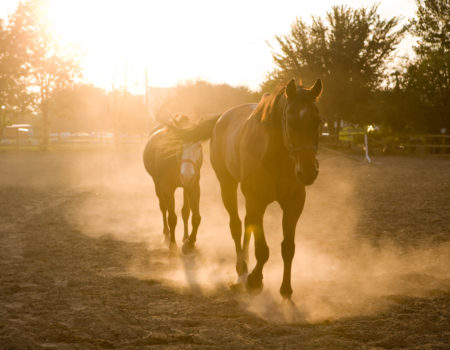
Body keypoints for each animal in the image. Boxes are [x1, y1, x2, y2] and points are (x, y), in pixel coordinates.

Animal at [211, 78, 324, 298]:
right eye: (290, 122)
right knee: (236, 225)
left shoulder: (294, 204)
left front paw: (286, 288)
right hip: (227, 185)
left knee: (247, 223)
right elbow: (263, 250)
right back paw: (242, 269)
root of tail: (222, 118)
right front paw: (255, 279)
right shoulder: (256, 200)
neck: (276, 156)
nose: (308, 172)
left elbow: (288, 248)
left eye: (317, 121)